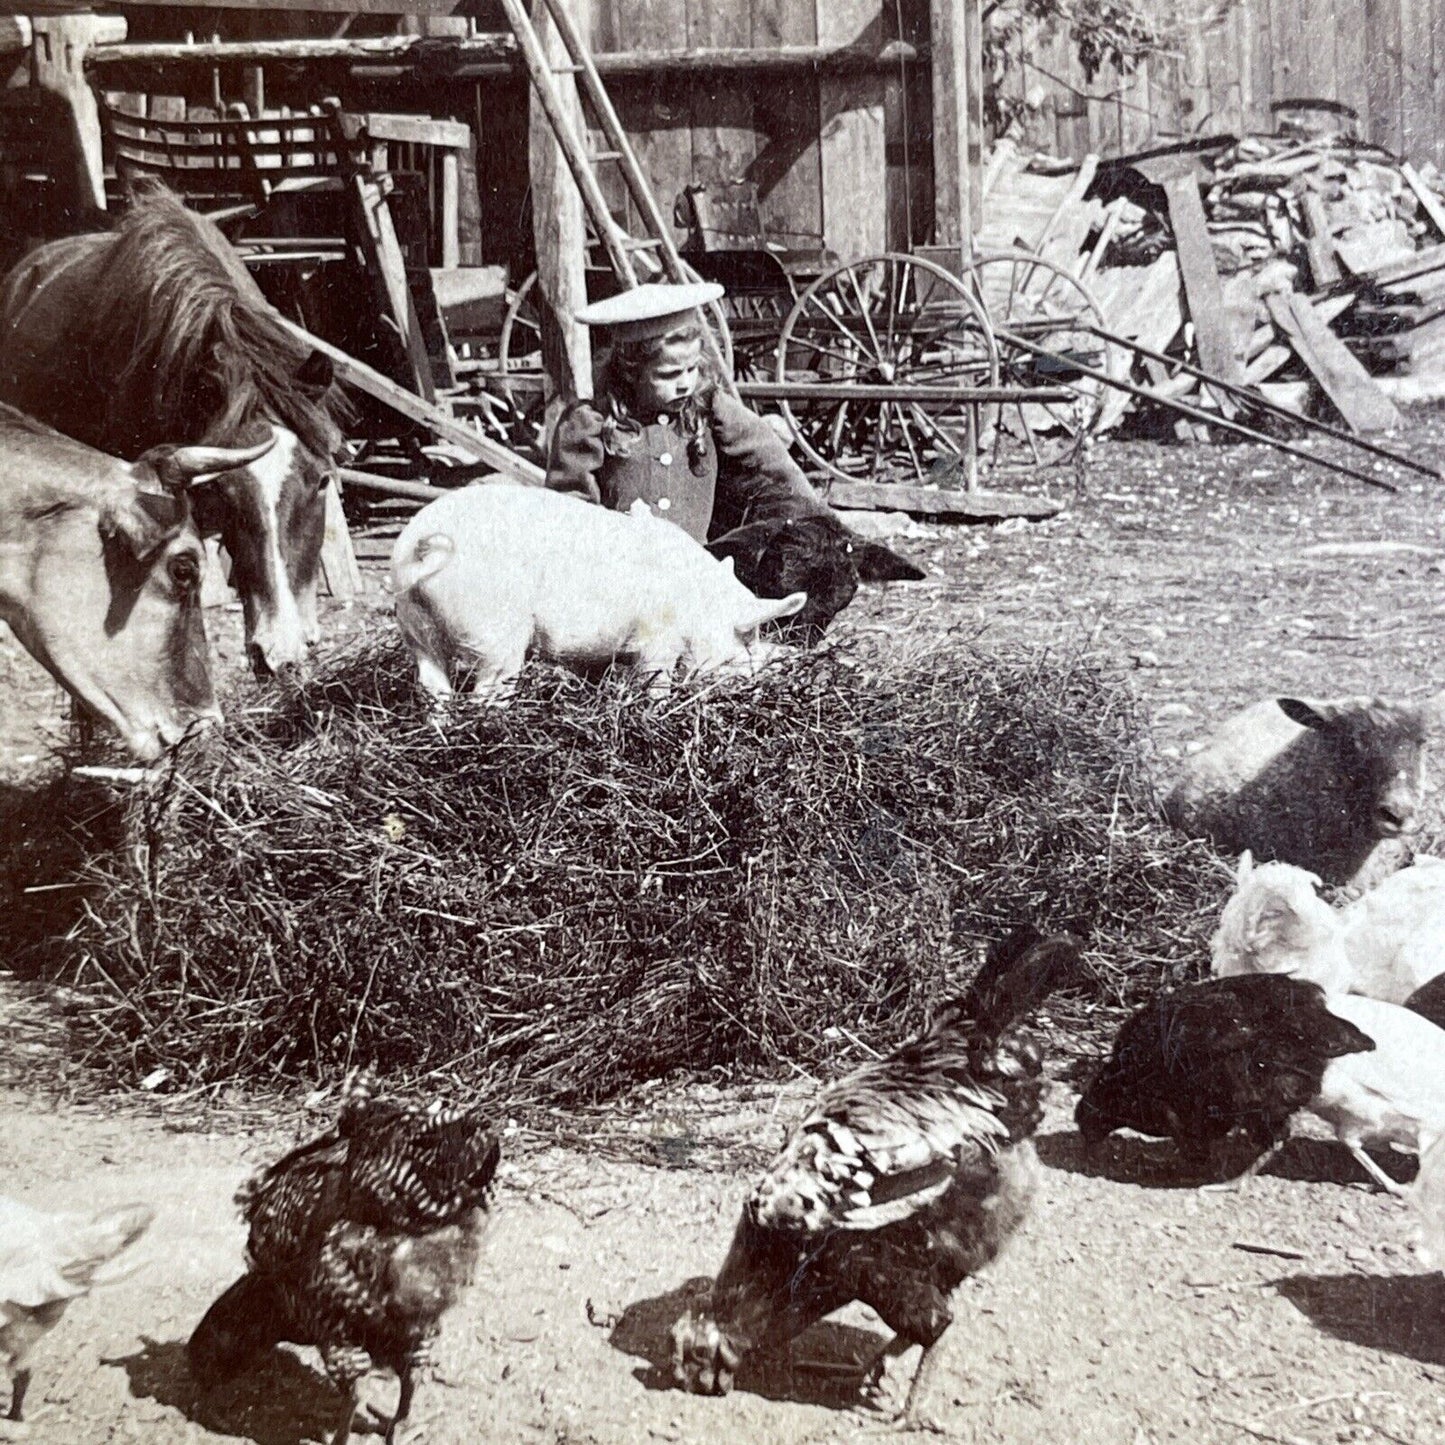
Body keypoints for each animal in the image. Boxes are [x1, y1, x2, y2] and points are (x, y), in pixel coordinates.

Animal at [390, 482, 809, 702]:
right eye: (747, 637)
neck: (697, 602)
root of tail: (422, 546)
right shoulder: (658, 637)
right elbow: (655, 678)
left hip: (414, 626)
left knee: (432, 686)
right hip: (494, 631)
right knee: (485, 692)